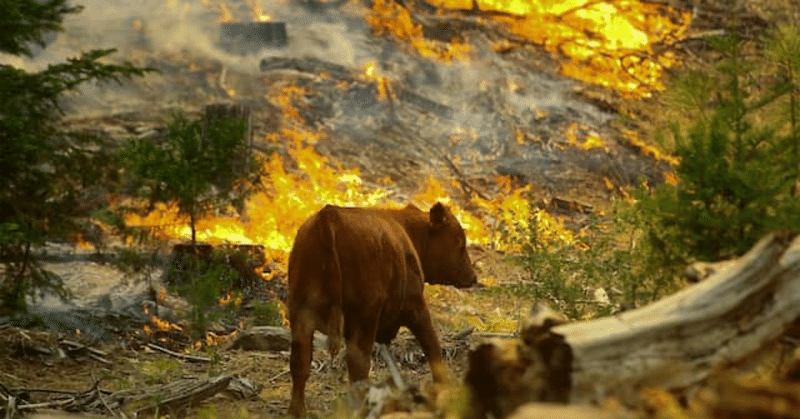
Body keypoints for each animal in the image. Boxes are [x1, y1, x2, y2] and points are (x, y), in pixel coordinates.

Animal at [286, 202, 476, 416]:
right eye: (459, 242)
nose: (473, 277)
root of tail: (328, 215)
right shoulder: (415, 307)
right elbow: (433, 347)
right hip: (364, 318)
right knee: (358, 364)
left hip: (301, 315)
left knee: (300, 363)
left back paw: (297, 410)